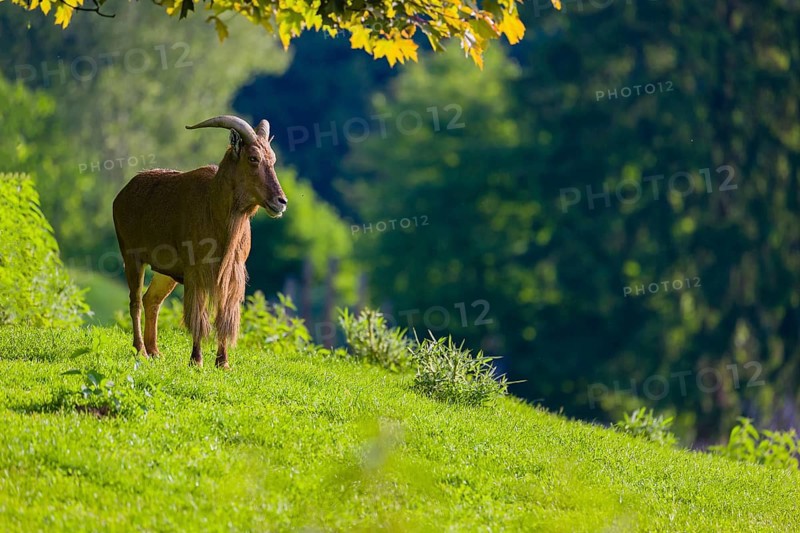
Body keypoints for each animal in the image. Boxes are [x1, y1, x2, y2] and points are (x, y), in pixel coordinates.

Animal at [112, 115, 287, 369]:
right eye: (253, 158)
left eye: (272, 159)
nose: (280, 201)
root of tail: (122, 194)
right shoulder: (197, 271)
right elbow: (199, 316)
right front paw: (197, 359)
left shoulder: (230, 274)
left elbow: (224, 315)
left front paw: (223, 362)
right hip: (132, 257)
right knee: (135, 301)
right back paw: (141, 350)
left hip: (166, 272)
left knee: (151, 300)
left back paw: (155, 351)